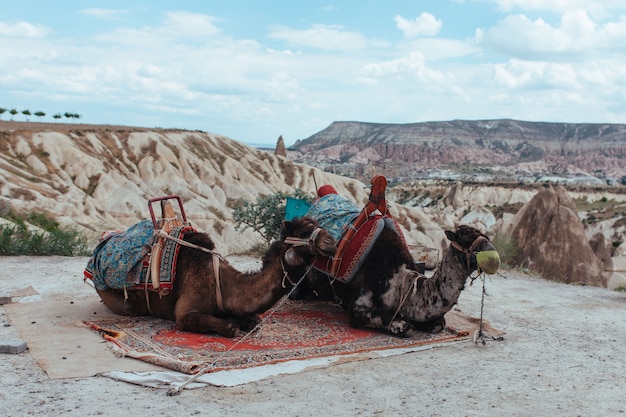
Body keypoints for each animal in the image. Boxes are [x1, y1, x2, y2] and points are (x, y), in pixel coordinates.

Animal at [88, 216, 336, 336]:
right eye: (304, 231)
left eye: (319, 224)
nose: (332, 242)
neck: (224, 285)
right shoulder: (184, 314)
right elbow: (227, 326)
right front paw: (233, 326)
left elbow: (255, 321)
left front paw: (247, 322)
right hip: (119, 301)